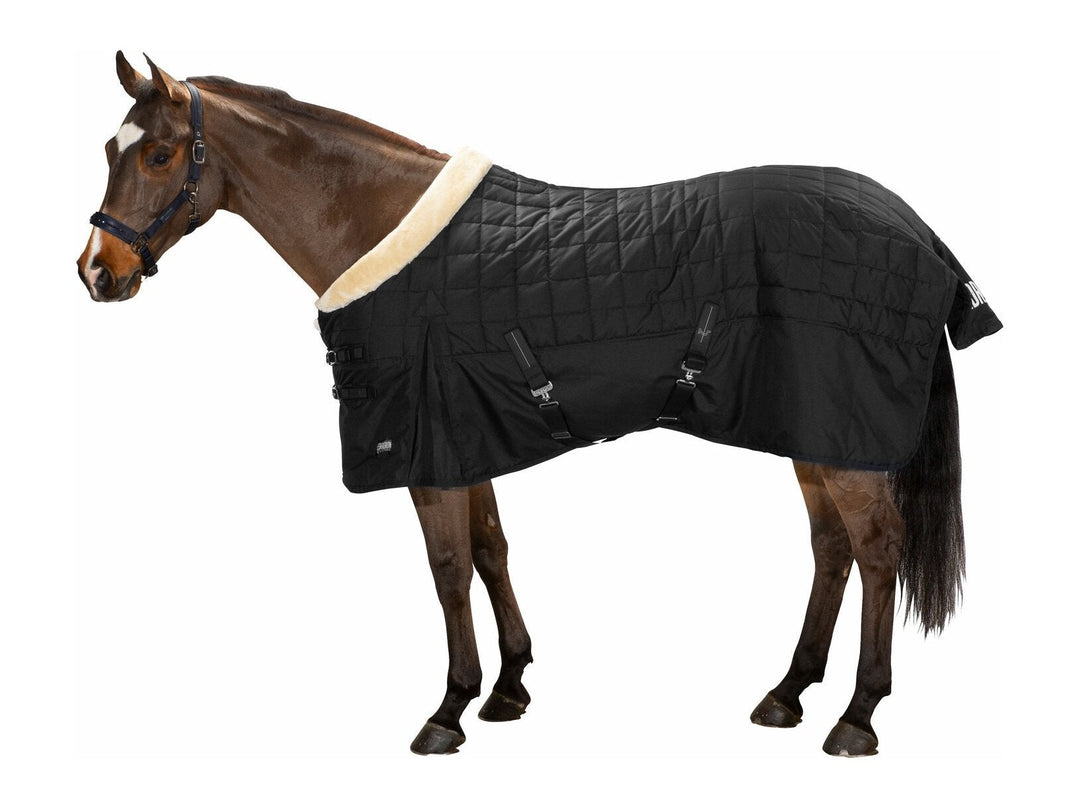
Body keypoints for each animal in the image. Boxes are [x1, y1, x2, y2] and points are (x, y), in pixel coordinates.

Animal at [77, 52, 1001, 757]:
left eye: (158, 156)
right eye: (110, 148)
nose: (97, 272)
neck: (384, 228)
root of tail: (919, 231)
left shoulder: (427, 450)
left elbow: (448, 570)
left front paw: (448, 711)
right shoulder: (465, 438)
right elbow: (492, 551)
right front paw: (510, 689)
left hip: (844, 440)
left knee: (877, 550)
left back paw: (856, 717)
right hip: (812, 430)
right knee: (832, 550)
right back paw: (788, 693)